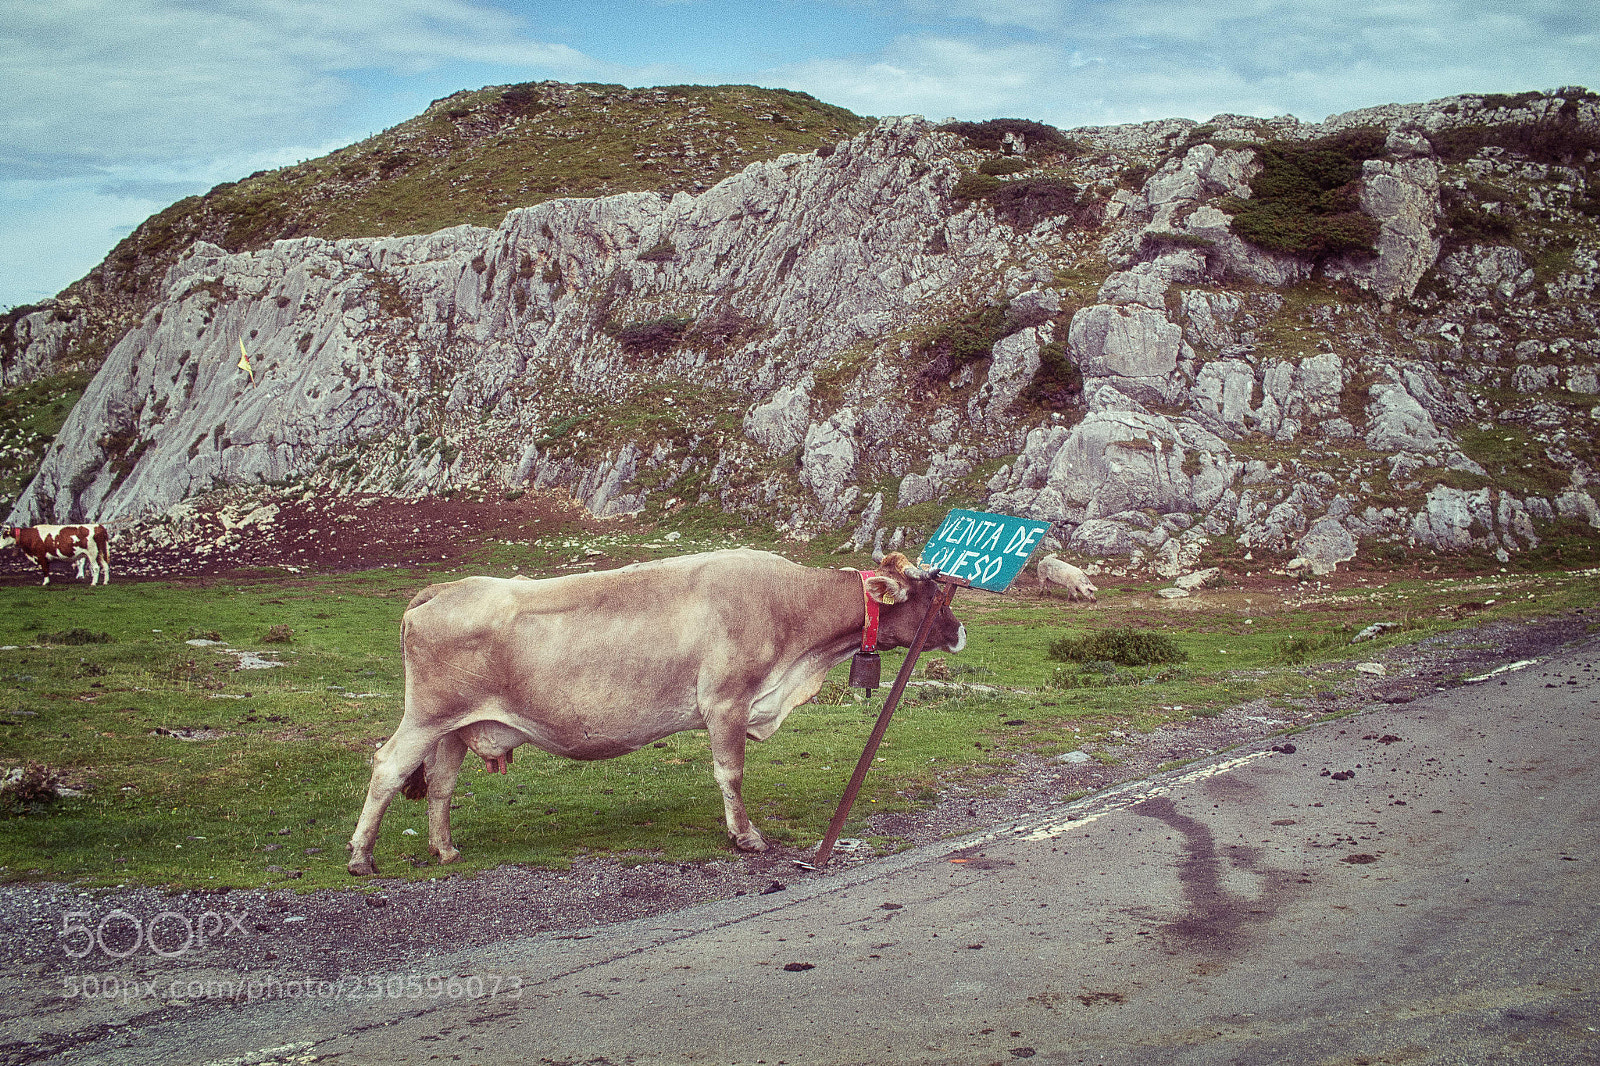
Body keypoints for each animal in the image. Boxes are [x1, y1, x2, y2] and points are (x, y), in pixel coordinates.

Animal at [347, 549, 966, 876]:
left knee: (442, 785)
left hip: (457, 726)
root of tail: (444, 588)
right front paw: (747, 838)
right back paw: (361, 858)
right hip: (427, 715)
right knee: (386, 766)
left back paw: (445, 848)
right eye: (928, 593)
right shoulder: (726, 701)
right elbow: (730, 773)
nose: (960, 631)